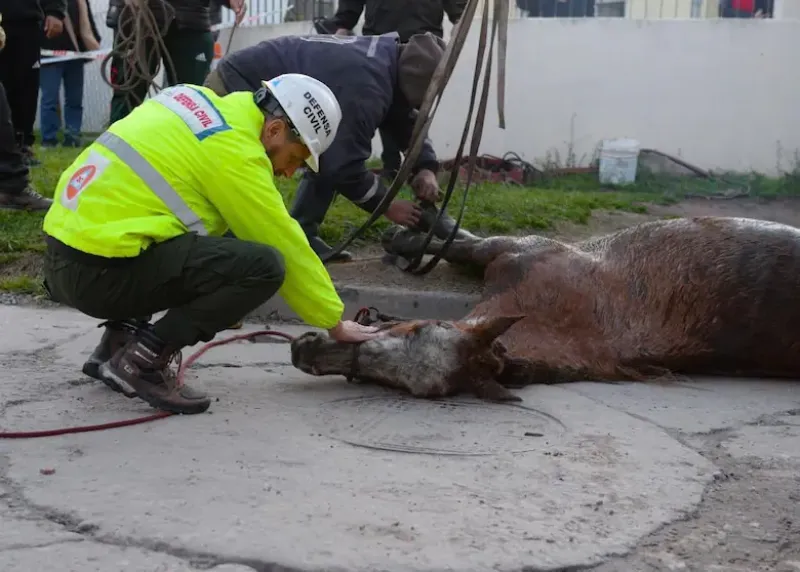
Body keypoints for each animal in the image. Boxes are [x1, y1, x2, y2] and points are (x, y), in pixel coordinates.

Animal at [290, 216, 800, 402]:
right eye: (415, 328)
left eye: (417, 390)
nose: (305, 351)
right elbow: (458, 243)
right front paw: (410, 235)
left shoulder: (518, 251)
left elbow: (461, 244)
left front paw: (407, 238)